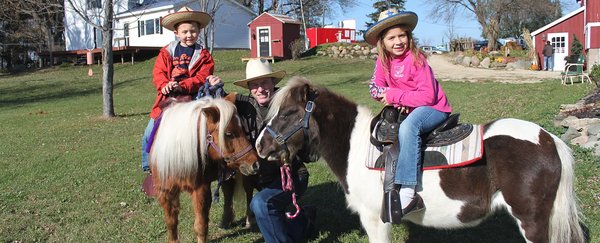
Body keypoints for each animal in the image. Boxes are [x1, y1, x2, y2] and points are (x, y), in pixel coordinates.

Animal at [149, 95, 258, 243]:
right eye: (228, 133)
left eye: (242, 129)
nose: (254, 163)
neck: (178, 153)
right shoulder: (166, 191)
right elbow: (171, 222)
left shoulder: (200, 189)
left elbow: (200, 225)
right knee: (228, 191)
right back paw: (226, 220)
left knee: (248, 191)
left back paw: (249, 220)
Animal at [254, 77, 584, 243]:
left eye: (288, 113)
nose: (260, 145)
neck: (356, 146)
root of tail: (548, 139)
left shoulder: (374, 218)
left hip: (531, 220)